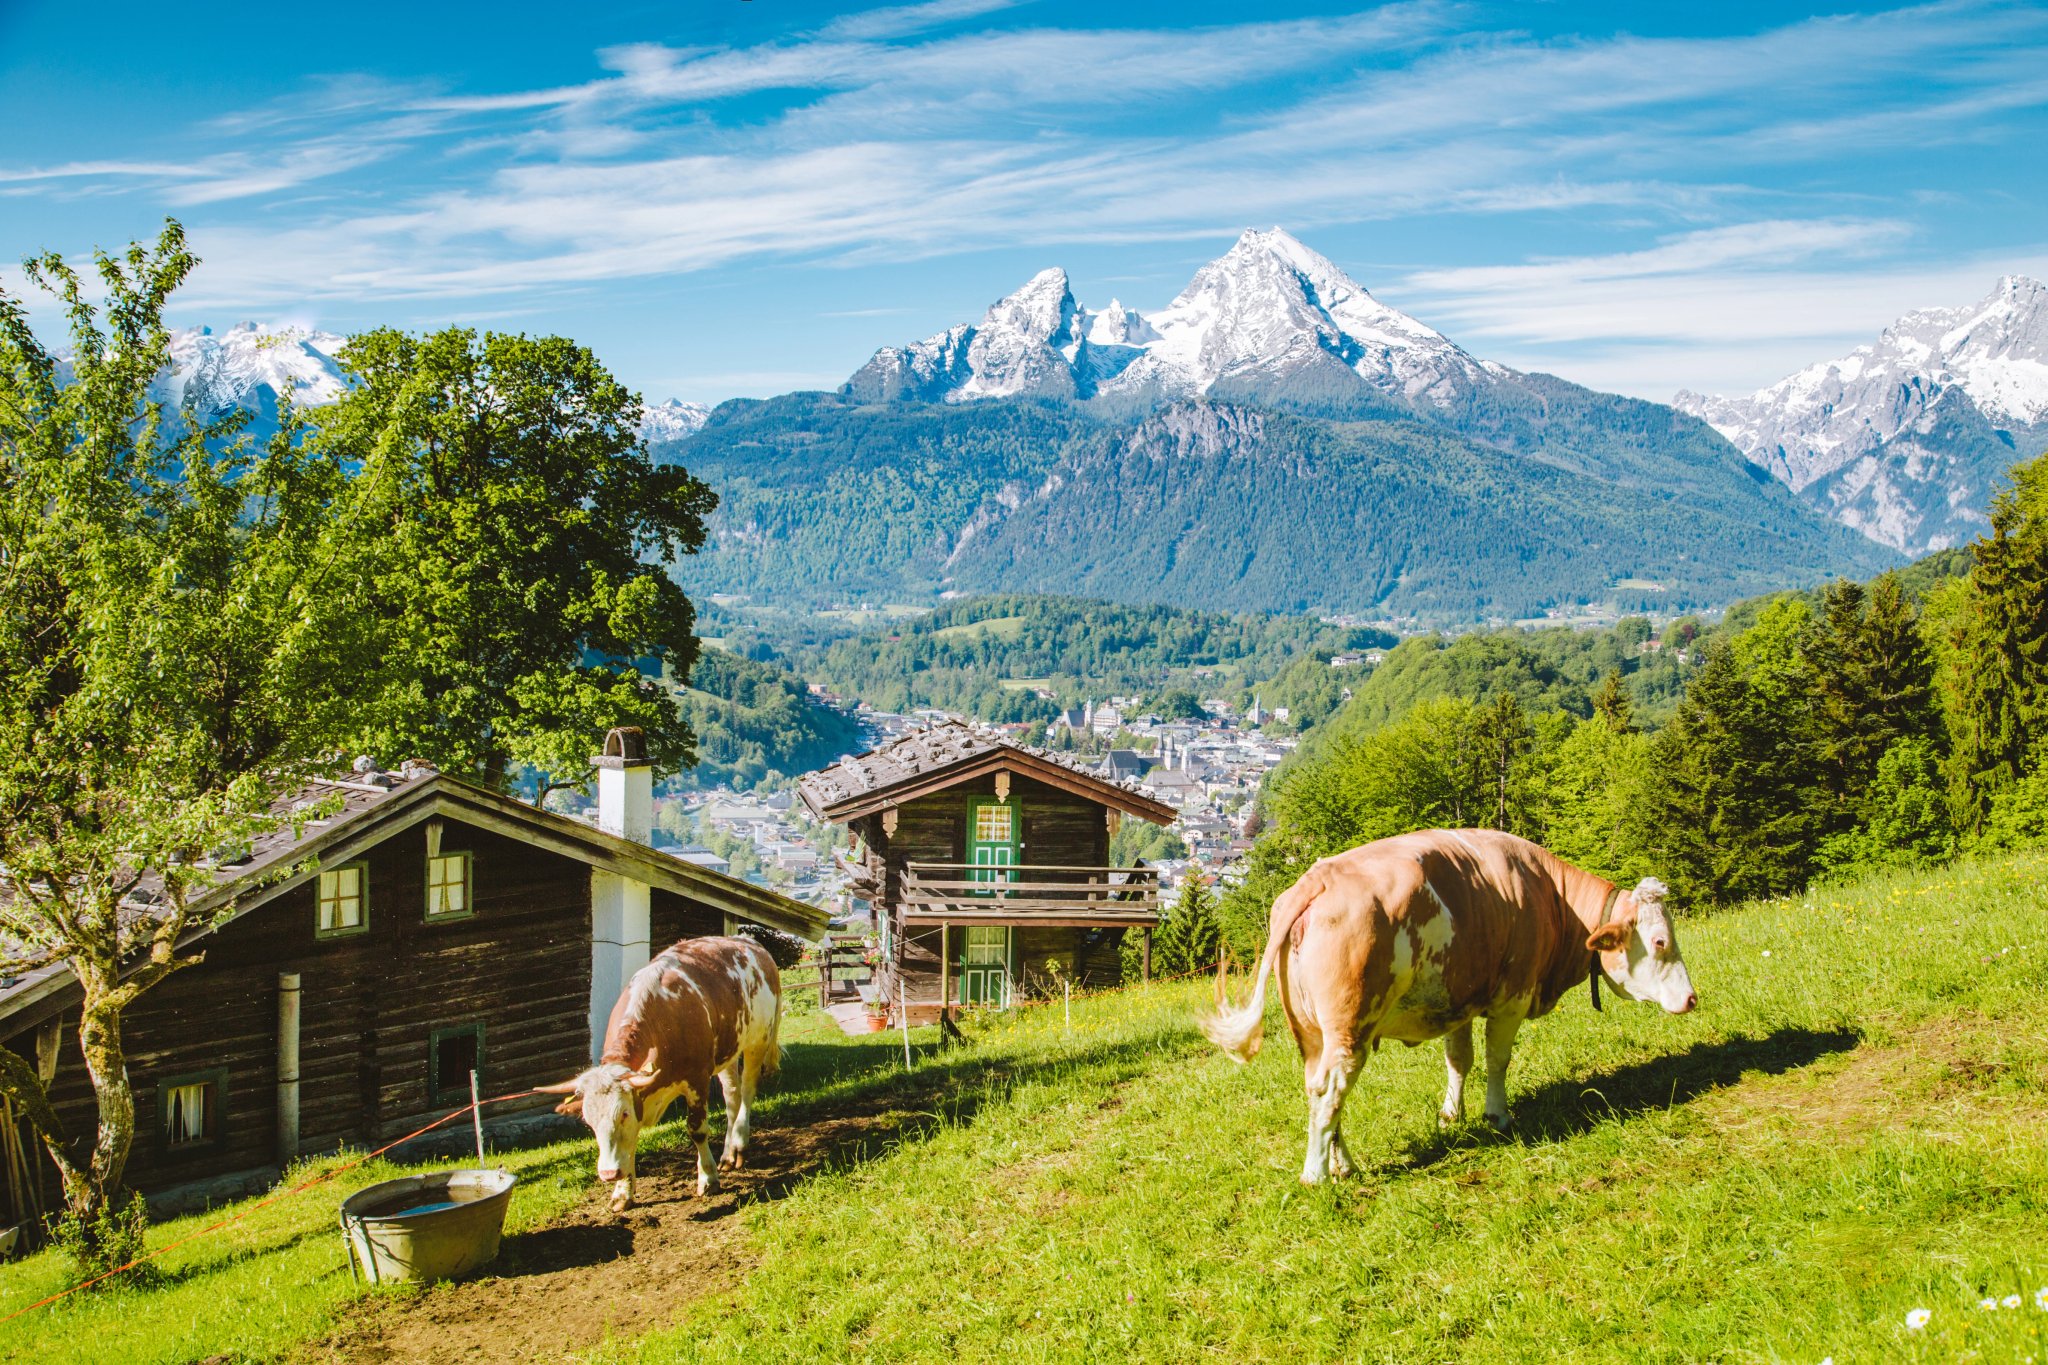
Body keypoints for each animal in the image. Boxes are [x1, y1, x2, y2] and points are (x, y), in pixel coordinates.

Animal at [538, 935, 782, 1213]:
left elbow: (697, 1129)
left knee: (748, 1091)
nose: (608, 1174)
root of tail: (749, 943)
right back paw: (728, 1155)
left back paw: (740, 1142)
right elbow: (630, 1142)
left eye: (622, 1113)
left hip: (758, 1040)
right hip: (729, 1049)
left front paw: (708, 1179)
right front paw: (622, 1192)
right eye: (589, 1121)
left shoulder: (697, 1079)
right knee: (732, 1096)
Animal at [1202, 828, 1696, 1185]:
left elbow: (1460, 1059)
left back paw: (1345, 1165)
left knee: (1316, 1089)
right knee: (1330, 1091)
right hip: (1349, 1029)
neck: (1551, 899)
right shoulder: (1511, 997)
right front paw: (1497, 1115)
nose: (1692, 998)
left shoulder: (1459, 998)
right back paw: (1317, 1174)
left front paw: (1450, 1116)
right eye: (1659, 941)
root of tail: (1317, 879)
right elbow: (1497, 1060)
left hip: (1311, 1034)